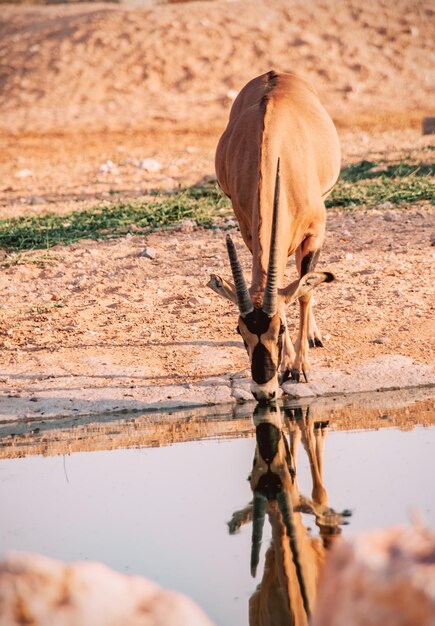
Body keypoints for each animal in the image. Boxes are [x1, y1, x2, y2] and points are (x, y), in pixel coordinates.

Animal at [209, 69, 342, 400]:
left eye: (279, 328)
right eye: (239, 330)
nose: (263, 391)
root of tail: (275, 73)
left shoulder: (315, 233)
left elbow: (304, 290)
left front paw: (300, 368)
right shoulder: (248, 233)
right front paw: (287, 368)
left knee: (307, 282)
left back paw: (313, 336)